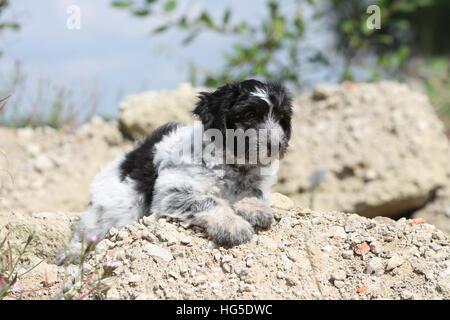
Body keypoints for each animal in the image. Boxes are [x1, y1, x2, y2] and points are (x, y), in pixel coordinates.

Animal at [56, 79, 294, 264]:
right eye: (249, 115)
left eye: (281, 118)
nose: (277, 146)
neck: (233, 164)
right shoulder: (171, 191)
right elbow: (208, 201)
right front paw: (232, 225)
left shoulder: (256, 183)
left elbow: (254, 192)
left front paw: (255, 208)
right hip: (109, 211)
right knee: (87, 232)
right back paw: (71, 254)